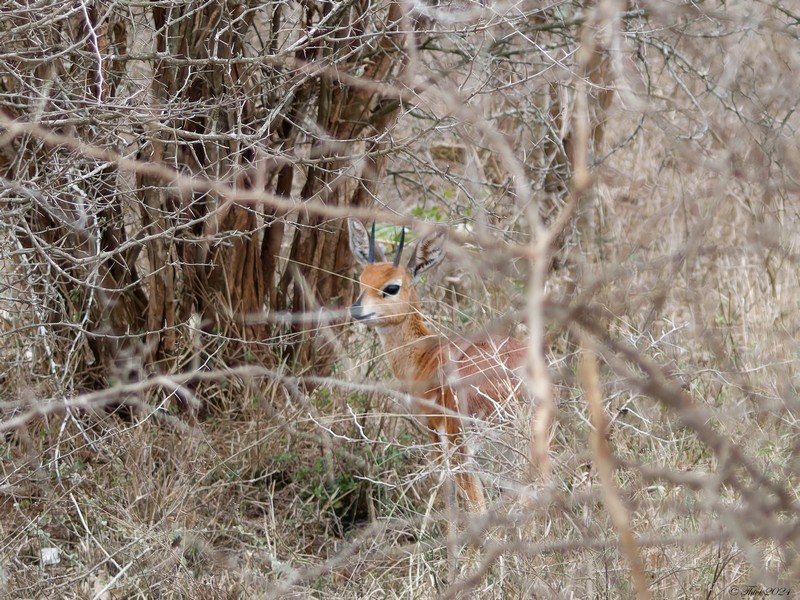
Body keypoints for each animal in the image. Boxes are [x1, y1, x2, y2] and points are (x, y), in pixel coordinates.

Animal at [346, 218, 528, 508]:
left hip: (463, 446)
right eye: (362, 279)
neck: (422, 353)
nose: (356, 310)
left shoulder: (433, 431)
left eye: (392, 287)